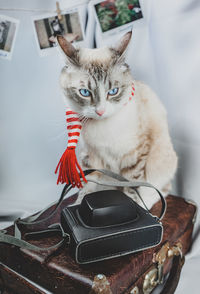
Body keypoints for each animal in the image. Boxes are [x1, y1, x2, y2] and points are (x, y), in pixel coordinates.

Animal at [56, 31, 177, 209]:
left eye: (113, 91)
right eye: (85, 92)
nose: (100, 111)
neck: (103, 127)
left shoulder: (134, 156)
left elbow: (132, 189)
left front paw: (135, 206)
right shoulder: (90, 158)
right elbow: (87, 188)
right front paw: (78, 206)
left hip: (162, 163)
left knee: (162, 189)